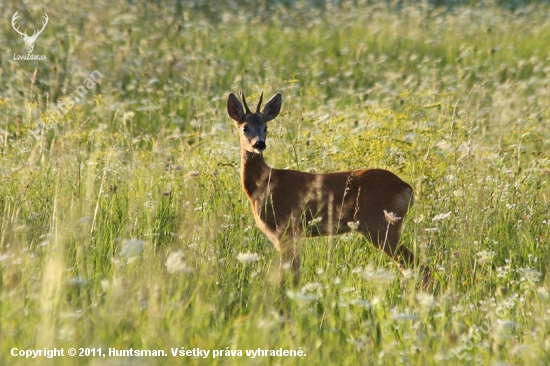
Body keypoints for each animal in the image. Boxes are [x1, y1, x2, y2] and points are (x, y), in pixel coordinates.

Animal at [227, 91, 432, 286]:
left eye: (266, 127)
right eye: (245, 127)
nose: (259, 144)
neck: (264, 184)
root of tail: (407, 188)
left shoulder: (285, 230)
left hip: (381, 225)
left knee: (420, 268)